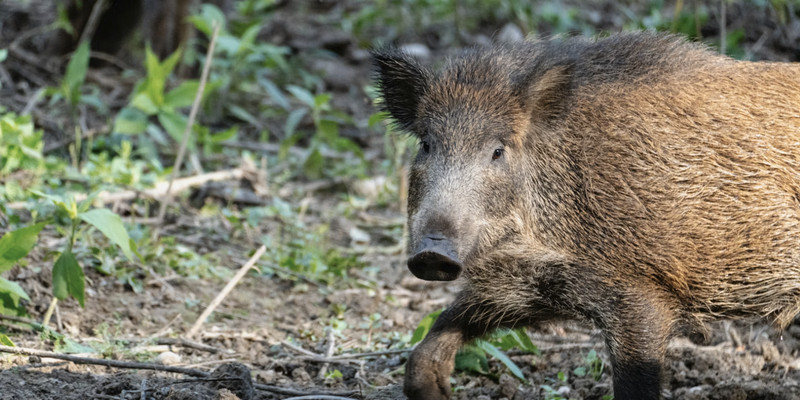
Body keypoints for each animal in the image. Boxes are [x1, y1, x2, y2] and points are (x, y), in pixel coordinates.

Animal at [373, 32, 800, 400]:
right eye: (426, 144)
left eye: (497, 151)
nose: (432, 253)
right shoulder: (531, 285)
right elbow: (447, 324)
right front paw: (432, 390)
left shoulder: (643, 296)